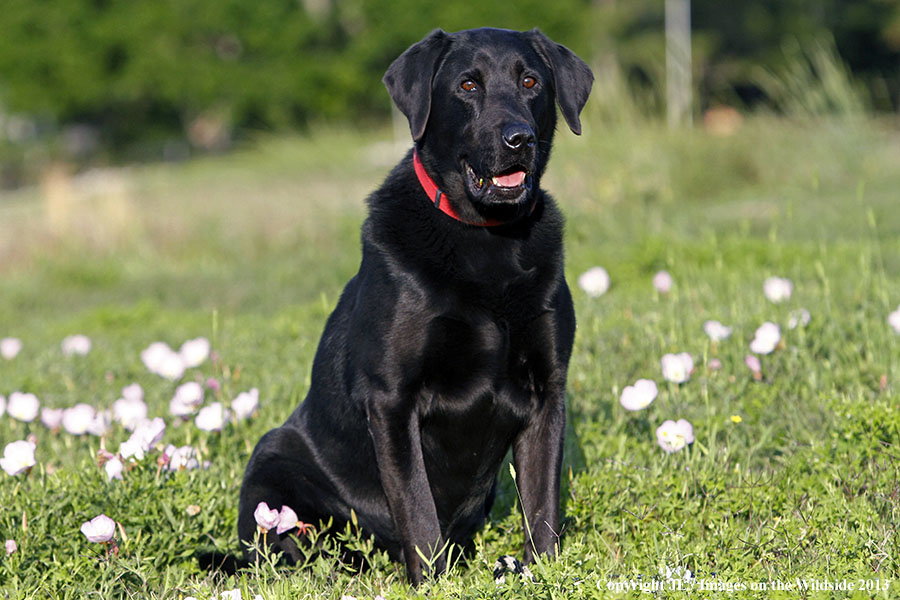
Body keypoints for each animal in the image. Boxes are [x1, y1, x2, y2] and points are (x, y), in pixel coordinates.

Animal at [236, 28, 596, 584]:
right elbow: (417, 508)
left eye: (531, 81)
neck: (486, 239)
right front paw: (432, 582)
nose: (519, 139)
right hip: (271, 461)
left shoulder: (546, 392)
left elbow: (542, 508)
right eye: (468, 84)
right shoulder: (393, 399)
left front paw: (543, 573)